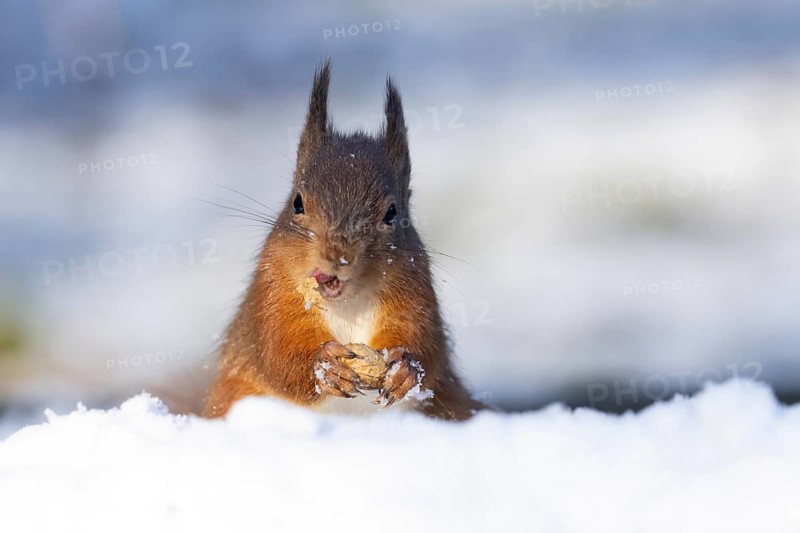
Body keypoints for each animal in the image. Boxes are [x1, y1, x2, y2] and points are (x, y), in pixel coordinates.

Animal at [203, 61, 483, 421]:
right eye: (297, 202)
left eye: (392, 212)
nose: (337, 255)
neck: (347, 302)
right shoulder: (272, 292)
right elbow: (277, 351)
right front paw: (325, 367)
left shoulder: (415, 289)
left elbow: (426, 343)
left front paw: (405, 369)